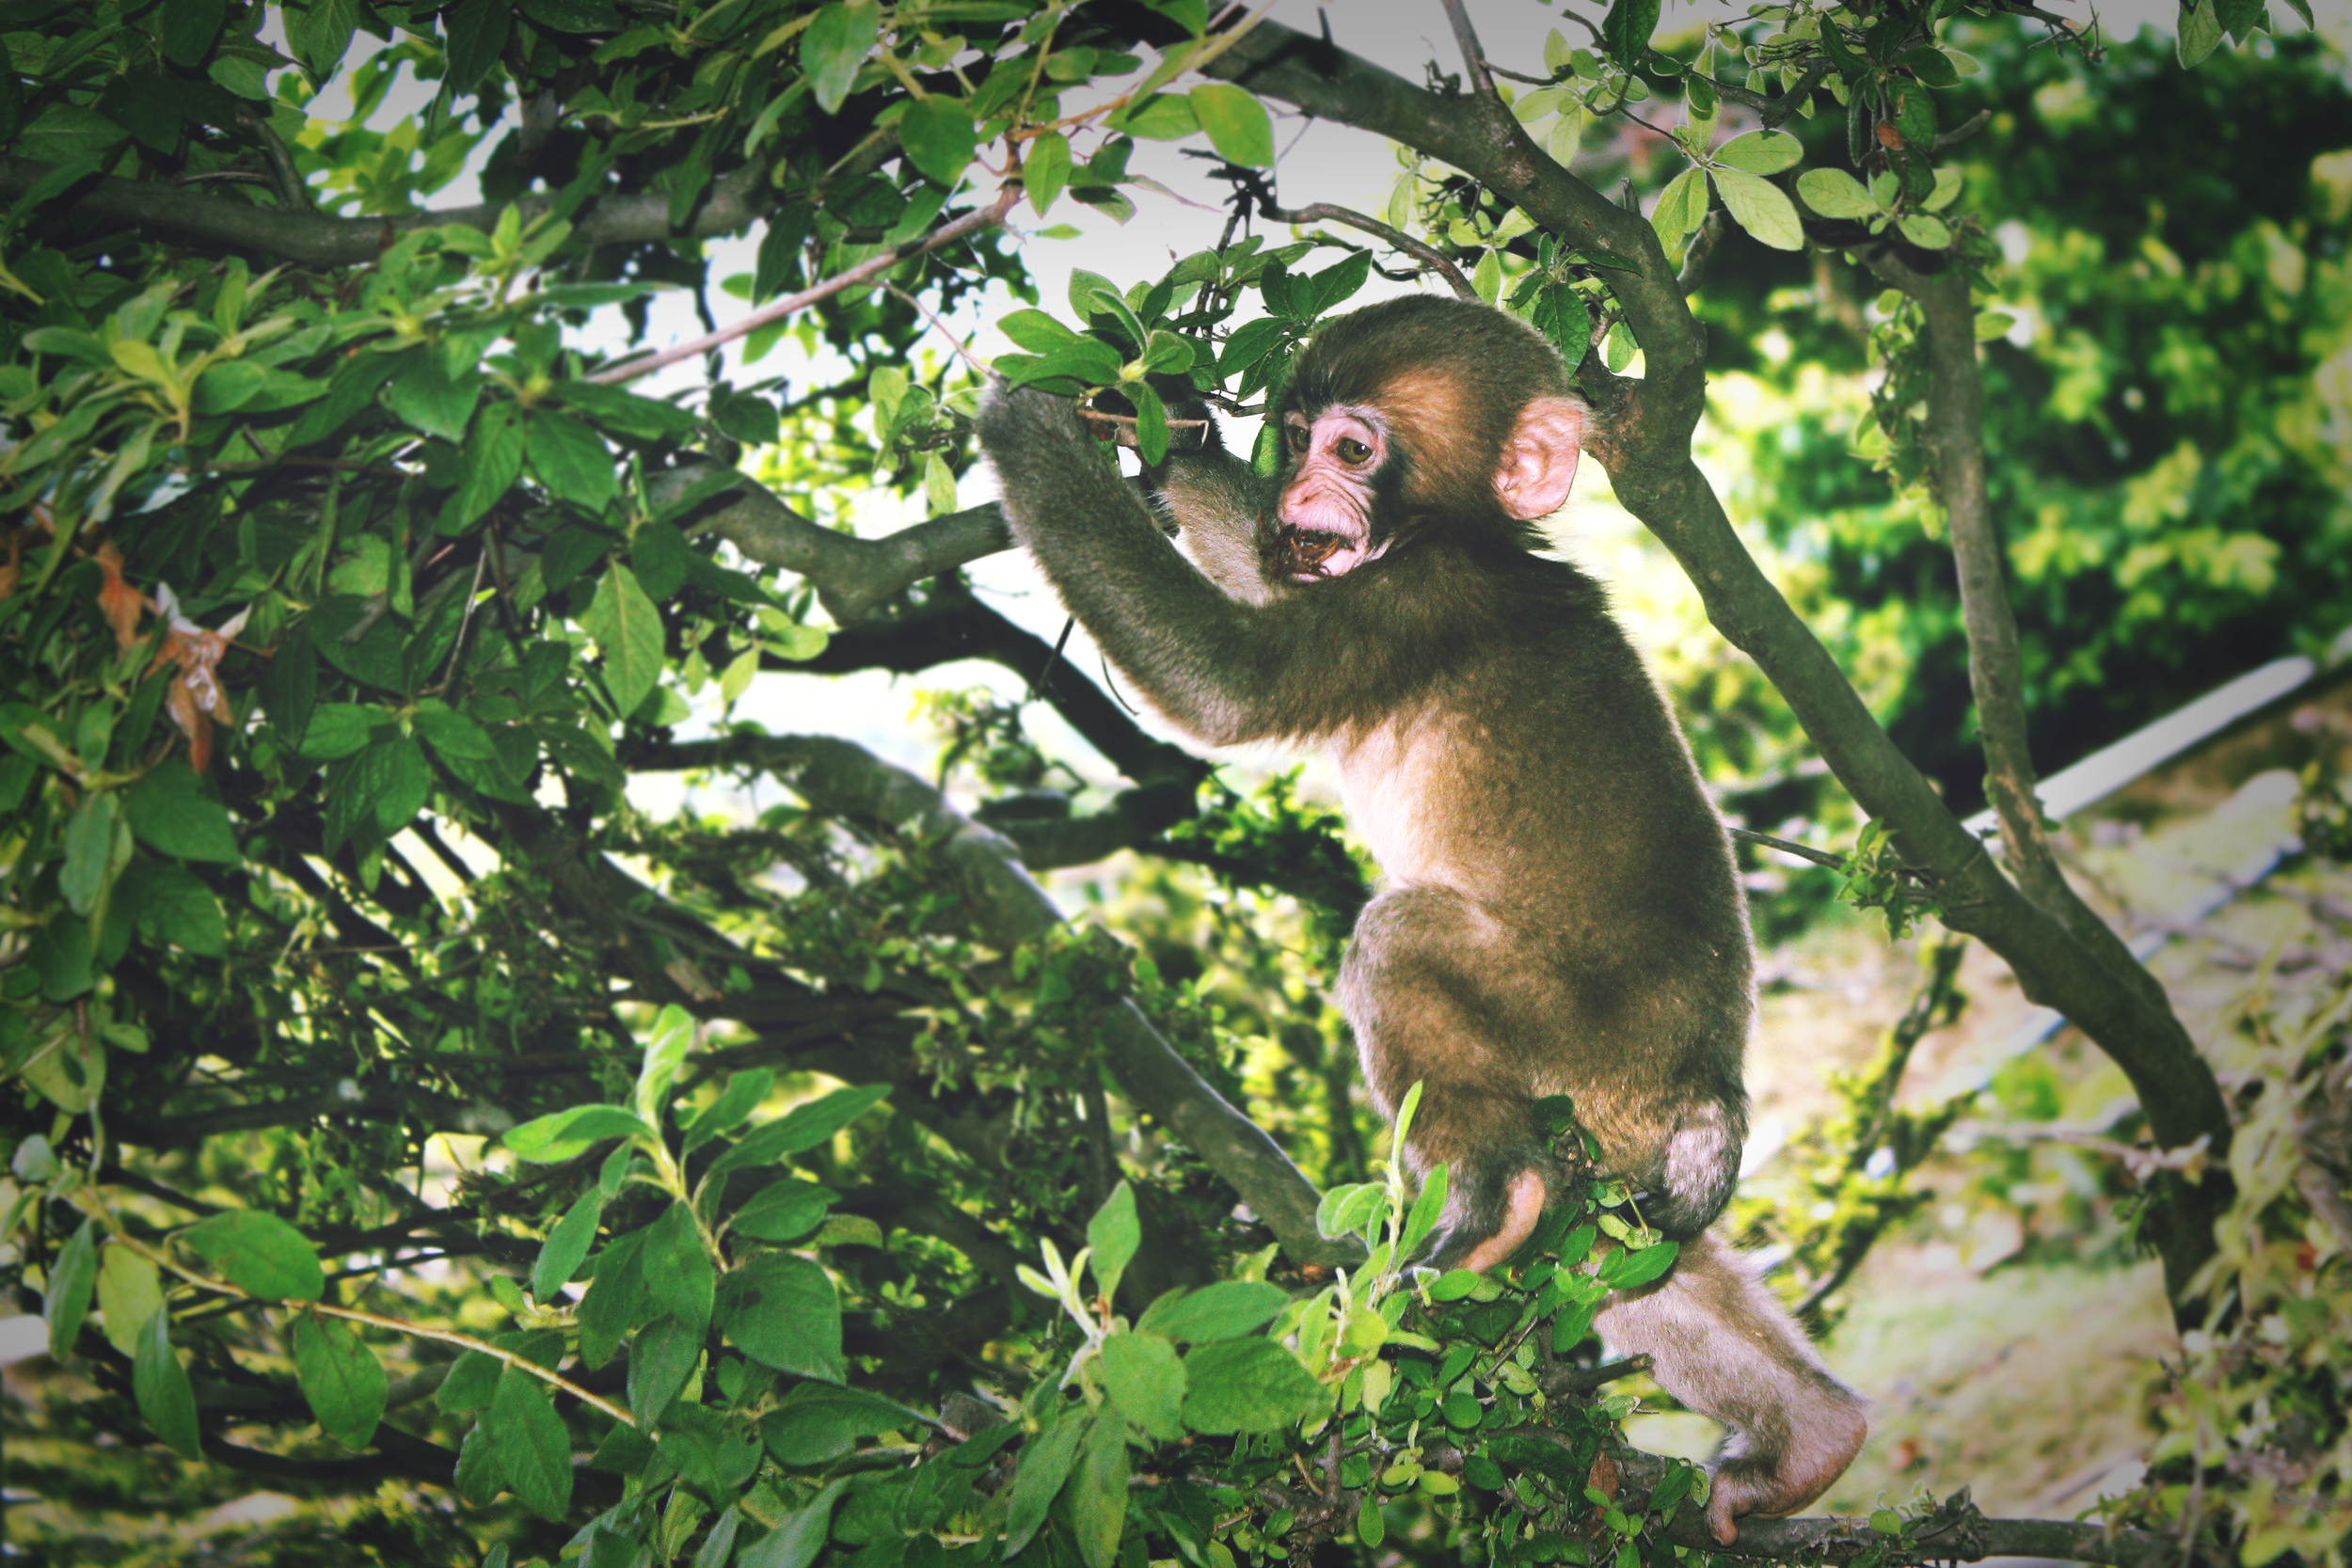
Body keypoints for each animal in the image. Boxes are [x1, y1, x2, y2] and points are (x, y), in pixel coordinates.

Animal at [975, 294, 1866, 1540]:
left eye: (1353, 448)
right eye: (1293, 436)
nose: (1303, 488)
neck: (1478, 538)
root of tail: (1707, 1086)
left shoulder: (1417, 600)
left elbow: (1227, 678)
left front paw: (1034, 429)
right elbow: (1251, 565)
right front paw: (1158, 411)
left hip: (1582, 1038)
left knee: (1398, 944)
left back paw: (1495, 1196)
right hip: (1619, 1132)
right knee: (1628, 1257)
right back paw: (1809, 1439)